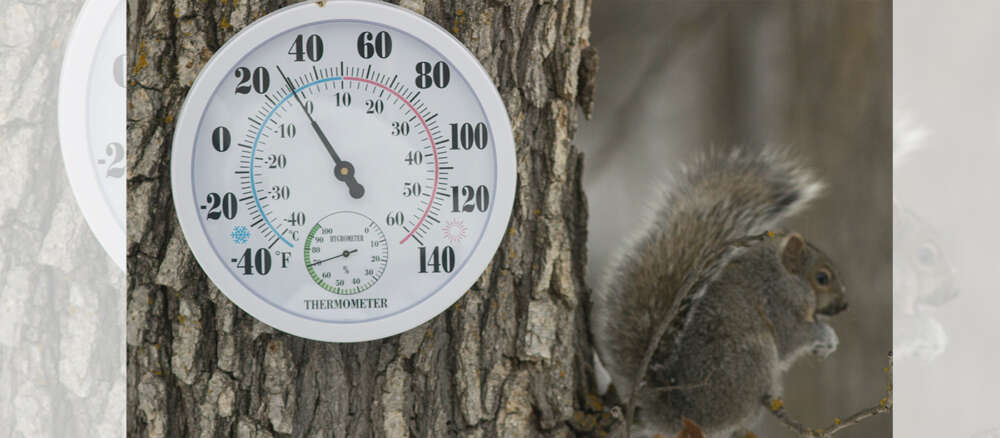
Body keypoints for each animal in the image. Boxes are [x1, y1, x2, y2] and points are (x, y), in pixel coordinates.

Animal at [592, 147, 849, 437]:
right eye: (822, 278)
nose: (844, 304)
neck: (782, 274)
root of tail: (675, 412)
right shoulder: (777, 304)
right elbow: (792, 338)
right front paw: (825, 336)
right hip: (752, 358)